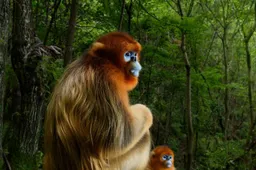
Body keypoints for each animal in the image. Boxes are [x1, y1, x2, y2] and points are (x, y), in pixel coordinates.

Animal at [43, 32, 153, 170]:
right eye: (127, 54)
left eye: (134, 53)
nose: (134, 58)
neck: (95, 61)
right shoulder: (107, 79)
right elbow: (120, 139)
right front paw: (145, 110)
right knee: (144, 137)